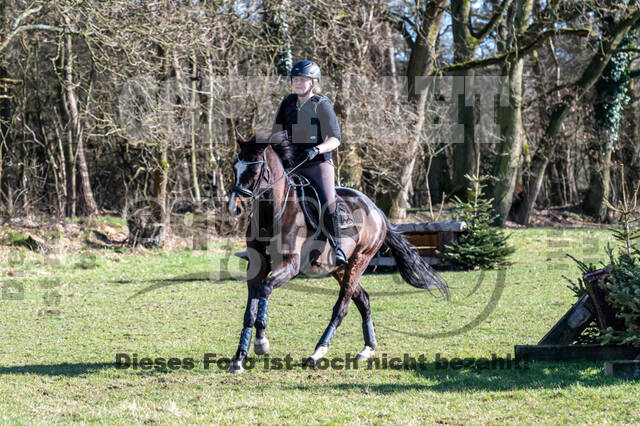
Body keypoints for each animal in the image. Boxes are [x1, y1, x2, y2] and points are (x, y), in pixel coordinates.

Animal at [228, 131, 448, 372]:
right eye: (235, 167)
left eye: (254, 170)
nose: (234, 207)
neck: (273, 214)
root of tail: (376, 209)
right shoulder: (256, 267)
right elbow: (250, 310)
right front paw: (239, 358)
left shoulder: (291, 265)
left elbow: (266, 289)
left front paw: (261, 342)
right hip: (339, 268)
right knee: (363, 299)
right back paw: (367, 349)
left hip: (360, 259)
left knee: (342, 307)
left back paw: (318, 352)